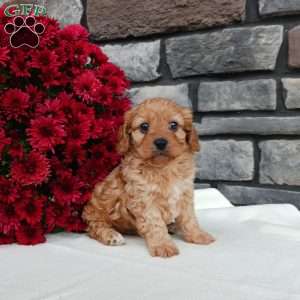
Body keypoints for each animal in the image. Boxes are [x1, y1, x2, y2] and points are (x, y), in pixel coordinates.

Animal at [81, 98, 213, 258]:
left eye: (173, 125)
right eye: (144, 126)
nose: (160, 142)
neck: (164, 167)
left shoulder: (185, 193)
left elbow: (189, 219)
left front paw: (198, 235)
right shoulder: (144, 200)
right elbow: (155, 224)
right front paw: (163, 245)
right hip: (96, 212)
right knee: (94, 227)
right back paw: (111, 236)